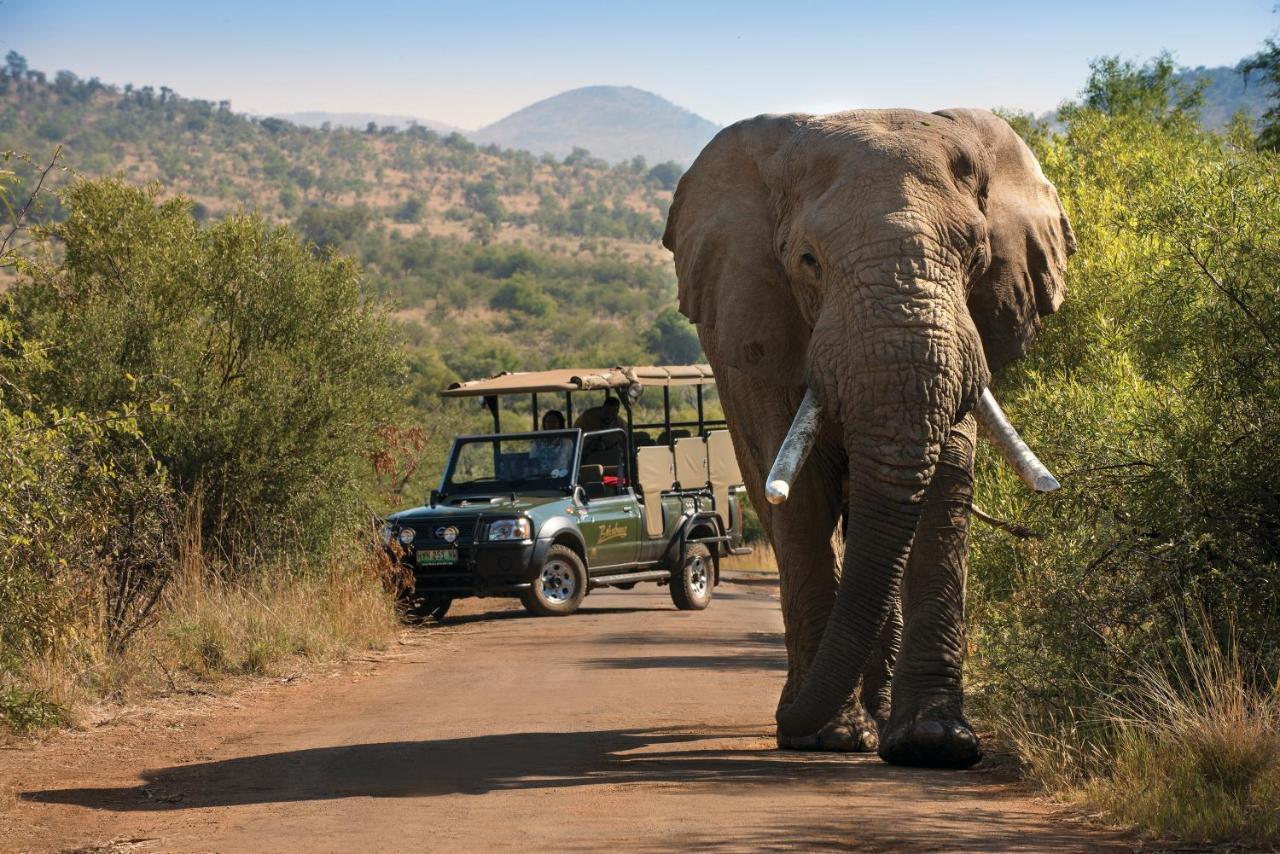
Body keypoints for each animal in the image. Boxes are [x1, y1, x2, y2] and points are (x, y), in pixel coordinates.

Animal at [665, 106, 1075, 768]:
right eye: (808, 260)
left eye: (975, 253)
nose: (789, 725)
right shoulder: (766, 334)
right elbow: (803, 496)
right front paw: (821, 737)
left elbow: (945, 483)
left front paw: (935, 744)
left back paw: (876, 718)